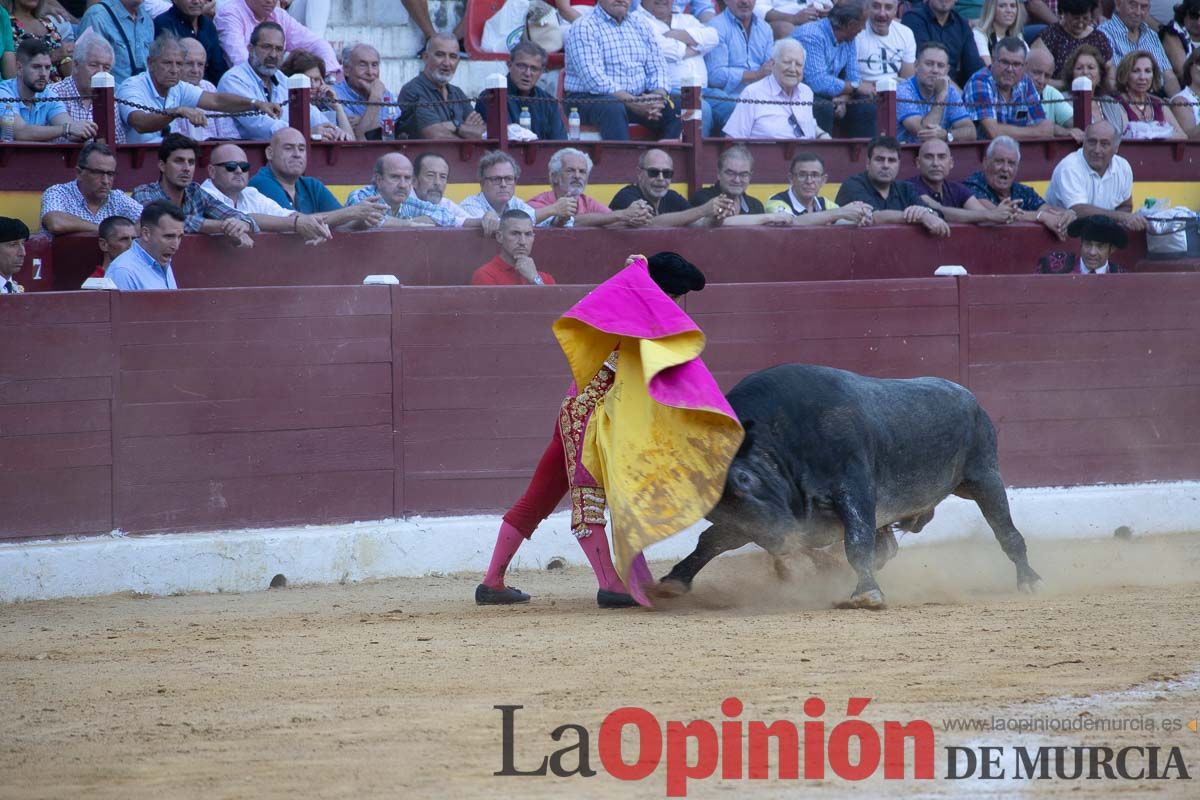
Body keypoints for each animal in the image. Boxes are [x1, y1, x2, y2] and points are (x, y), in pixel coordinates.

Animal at [657, 362, 1041, 606]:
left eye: (744, 478)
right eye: (711, 507)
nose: (783, 542)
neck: (785, 435)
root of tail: (966, 395)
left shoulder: (854, 490)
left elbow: (857, 542)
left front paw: (867, 594)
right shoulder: (758, 520)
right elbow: (712, 541)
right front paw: (674, 581)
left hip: (984, 476)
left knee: (1007, 532)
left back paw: (1029, 580)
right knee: (888, 547)